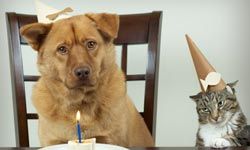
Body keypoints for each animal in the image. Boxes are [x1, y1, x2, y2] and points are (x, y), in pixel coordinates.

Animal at [20, 13, 153, 148]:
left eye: (91, 44)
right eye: (62, 49)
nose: (82, 72)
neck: (80, 104)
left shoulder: (111, 139)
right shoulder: (52, 142)